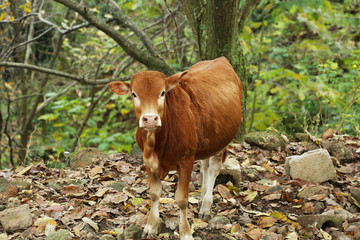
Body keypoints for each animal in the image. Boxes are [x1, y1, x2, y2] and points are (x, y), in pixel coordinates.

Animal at [107, 57, 242, 239]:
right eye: (134, 94)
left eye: (162, 93)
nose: (150, 119)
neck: (157, 145)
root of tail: (220, 59)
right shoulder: (147, 160)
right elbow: (154, 193)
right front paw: (151, 225)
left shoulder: (186, 161)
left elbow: (181, 199)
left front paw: (185, 232)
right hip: (208, 140)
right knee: (205, 166)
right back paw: (202, 197)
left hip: (222, 140)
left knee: (213, 169)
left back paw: (206, 206)